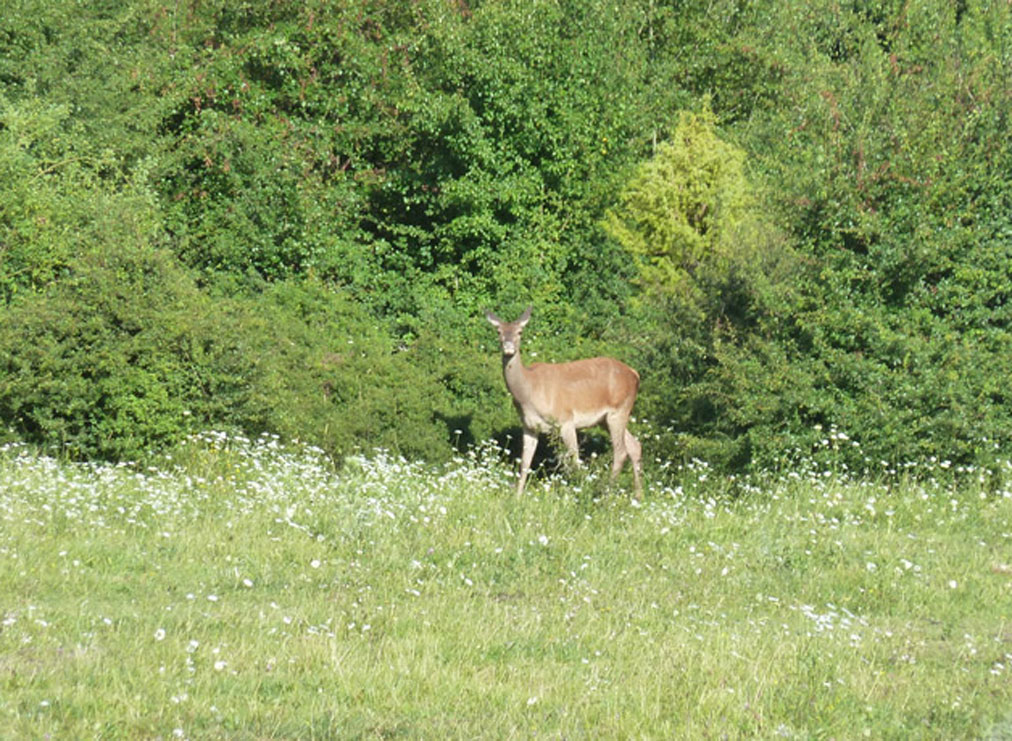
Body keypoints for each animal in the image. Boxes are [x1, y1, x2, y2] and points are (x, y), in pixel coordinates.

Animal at [485, 303, 643, 500]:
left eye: (520, 331)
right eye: (498, 331)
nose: (508, 346)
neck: (529, 392)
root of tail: (635, 375)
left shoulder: (566, 419)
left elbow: (574, 459)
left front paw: (576, 492)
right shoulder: (529, 426)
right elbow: (525, 462)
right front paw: (517, 498)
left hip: (619, 410)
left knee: (620, 451)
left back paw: (606, 494)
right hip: (606, 419)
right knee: (635, 445)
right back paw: (639, 496)